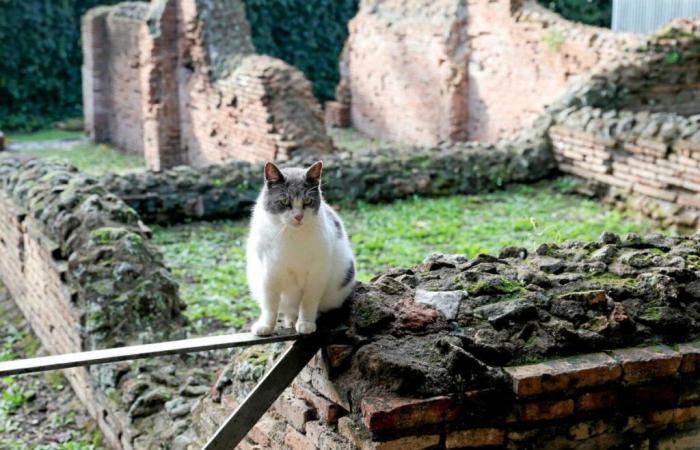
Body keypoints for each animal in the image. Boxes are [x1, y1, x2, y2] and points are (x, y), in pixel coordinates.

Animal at [246, 159, 356, 334]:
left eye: (307, 201)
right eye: (284, 201)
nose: (298, 216)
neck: (292, 236)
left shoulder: (317, 274)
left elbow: (308, 302)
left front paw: (306, 323)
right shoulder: (269, 274)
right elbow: (270, 305)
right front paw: (266, 326)